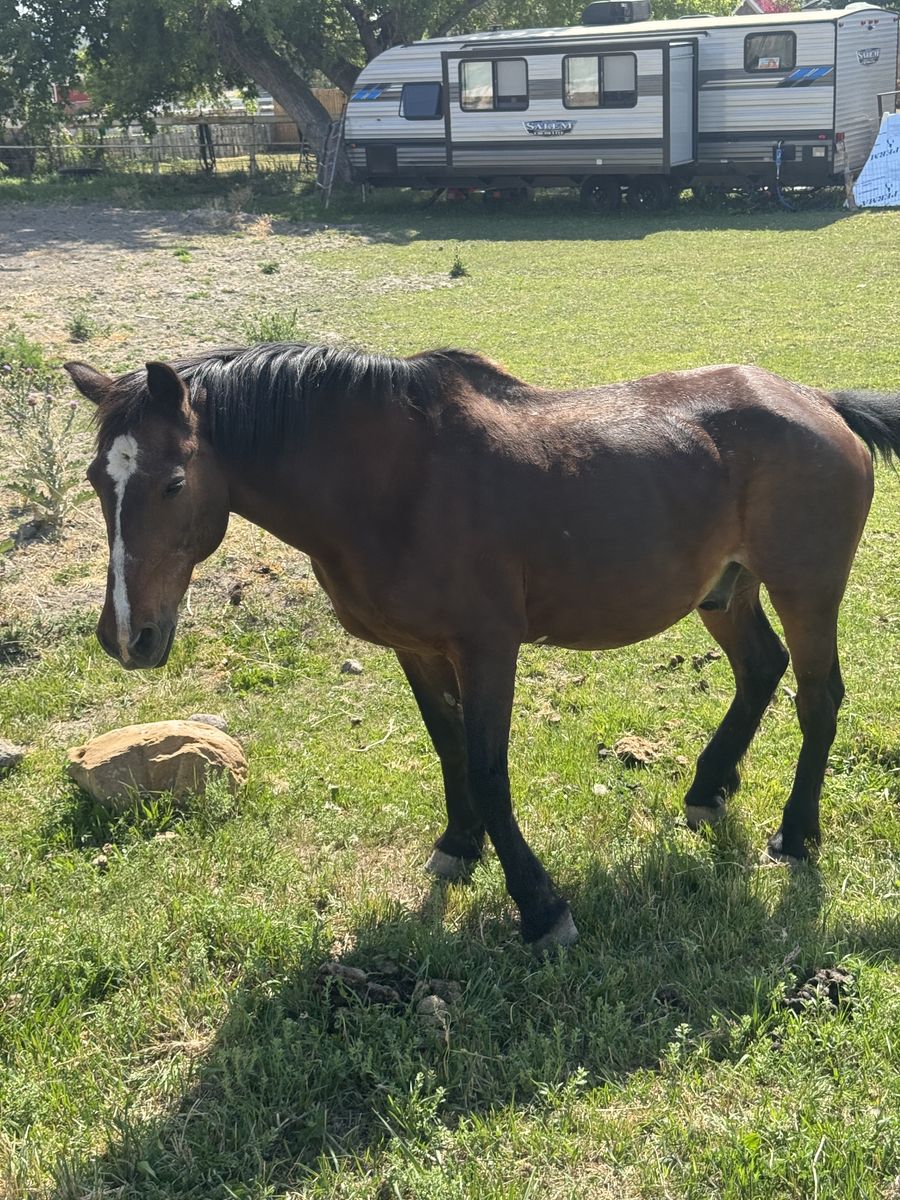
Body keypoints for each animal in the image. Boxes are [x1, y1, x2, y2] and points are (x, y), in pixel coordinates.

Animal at [64, 344, 900, 951]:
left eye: (174, 483)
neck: (395, 485)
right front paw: (459, 844)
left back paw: (797, 832)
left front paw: (538, 903)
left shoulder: (488, 649)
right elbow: (450, 751)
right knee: (761, 670)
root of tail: (819, 403)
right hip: (725, 590)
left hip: (804, 589)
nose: (127, 635)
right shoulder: (417, 650)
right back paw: (708, 787)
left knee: (818, 699)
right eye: (98, 482)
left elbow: (490, 769)